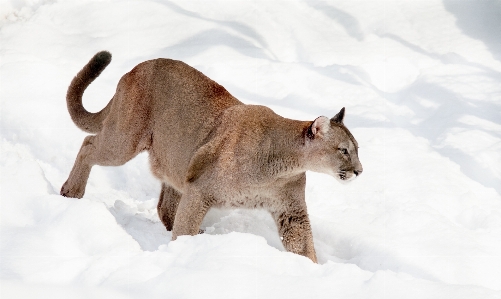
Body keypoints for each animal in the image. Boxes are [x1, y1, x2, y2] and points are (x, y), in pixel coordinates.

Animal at [60, 51, 362, 262]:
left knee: (165, 205)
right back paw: (71, 192)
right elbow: (186, 224)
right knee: (88, 145)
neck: (281, 165)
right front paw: (180, 255)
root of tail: (136, 68)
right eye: (344, 150)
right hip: (125, 140)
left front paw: (312, 271)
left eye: (357, 149)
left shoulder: (291, 211)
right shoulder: (200, 189)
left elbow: (304, 246)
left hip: (175, 162)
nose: (360, 171)